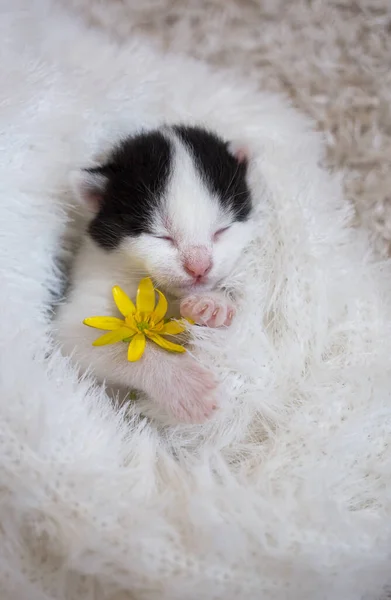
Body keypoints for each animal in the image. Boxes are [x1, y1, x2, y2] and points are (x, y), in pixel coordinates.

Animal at [56, 123, 258, 422]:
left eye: (222, 230)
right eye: (161, 236)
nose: (199, 267)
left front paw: (212, 305)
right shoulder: (91, 287)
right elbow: (112, 345)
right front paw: (186, 385)